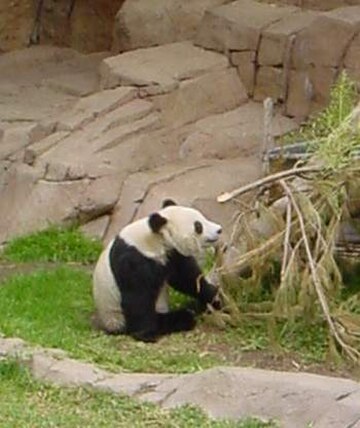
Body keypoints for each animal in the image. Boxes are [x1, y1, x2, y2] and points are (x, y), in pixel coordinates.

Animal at [93, 199, 222, 342]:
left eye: (202, 217)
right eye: (198, 226)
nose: (219, 230)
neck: (154, 239)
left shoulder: (171, 255)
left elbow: (187, 279)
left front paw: (215, 296)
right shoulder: (134, 260)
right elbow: (137, 297)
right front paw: (145, 334)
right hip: (117, 317)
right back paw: (183, 318)